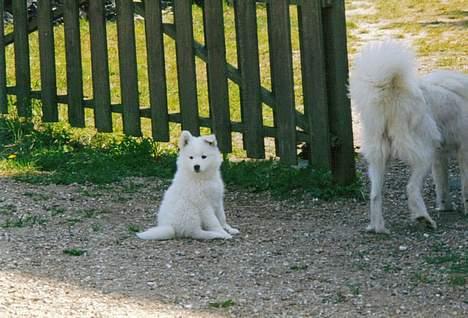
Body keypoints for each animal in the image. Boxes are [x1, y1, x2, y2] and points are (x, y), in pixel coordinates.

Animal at [352, 39, 468, 234]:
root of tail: (389, 93)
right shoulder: (461, 151)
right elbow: (465, 186)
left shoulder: (440, 156)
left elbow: (442, 184)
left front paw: (445, 207)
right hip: (424, 155)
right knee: (411, 188)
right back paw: (423, 219)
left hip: (379, 159)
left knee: (375, 195)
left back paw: (378, 228)